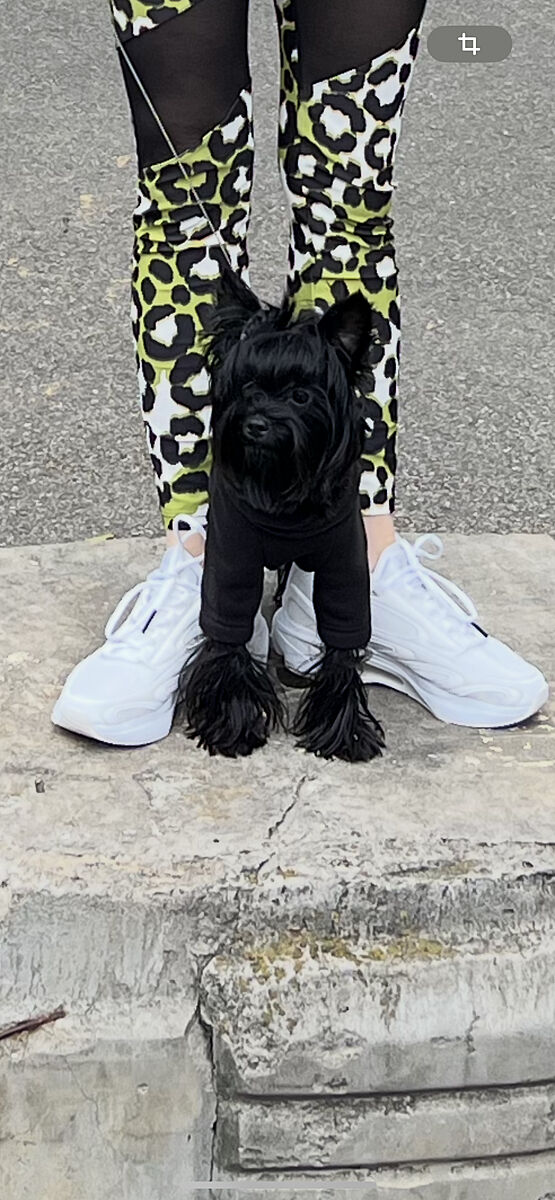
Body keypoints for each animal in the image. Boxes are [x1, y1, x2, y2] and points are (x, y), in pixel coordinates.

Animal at [176, 264, 386, 762]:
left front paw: (344, 731)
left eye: (301, 395)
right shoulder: (231, 559)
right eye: (248, 387)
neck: (283, 485)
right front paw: (232, 723)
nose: (256, 424)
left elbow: (343, 642)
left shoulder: (344, 565)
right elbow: (226, 632)